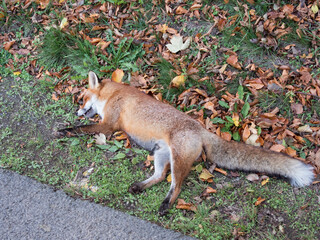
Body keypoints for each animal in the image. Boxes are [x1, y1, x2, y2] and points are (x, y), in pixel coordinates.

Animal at [55, 71, 316, 216]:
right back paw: (139, 187)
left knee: (176, 186)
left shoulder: (109, 126)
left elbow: (80, 130)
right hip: (161, 155)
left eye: (82, 98)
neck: (113, 95)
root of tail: (201, 129)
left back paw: (165, 206)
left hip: (177, 160)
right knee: (160, 177)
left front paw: (64, 130)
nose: (78, 111)